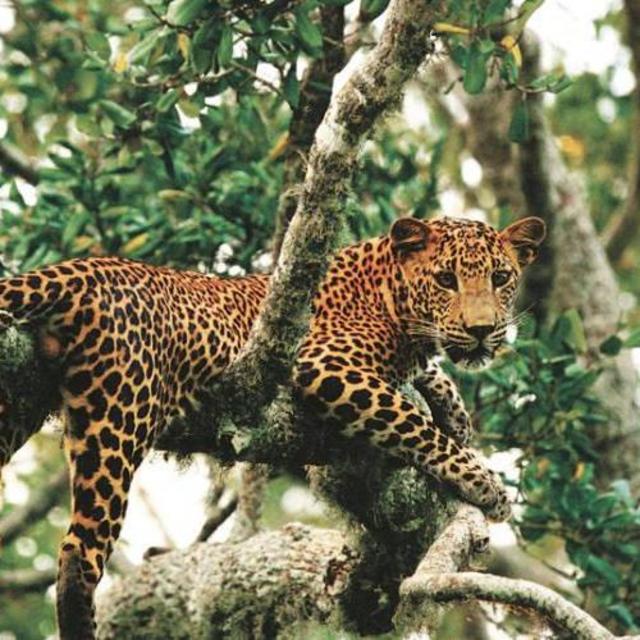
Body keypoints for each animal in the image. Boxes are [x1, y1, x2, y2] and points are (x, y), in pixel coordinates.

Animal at [0, 214, 545, 639]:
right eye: (446, 279)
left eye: (500, 277)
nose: (481, 330)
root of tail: (79, 268)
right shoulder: (326, 363)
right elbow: (412, 423)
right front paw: (484, 483)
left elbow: (433, 382)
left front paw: (456, 414)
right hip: (122, 413)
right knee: (80, 552)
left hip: (18, 408)